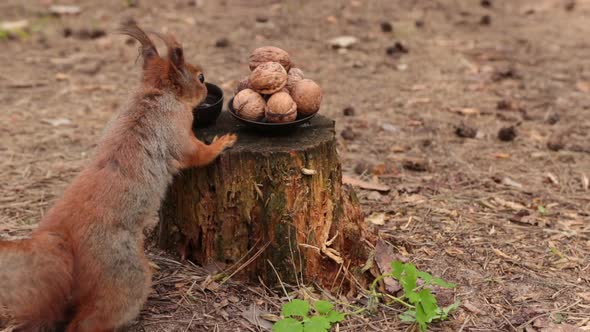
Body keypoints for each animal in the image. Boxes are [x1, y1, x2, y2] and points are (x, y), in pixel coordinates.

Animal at [0, 22, 236, 330]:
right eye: (200, 77)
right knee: (89, 320)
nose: (208, 87)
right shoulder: (177, 127)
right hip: (122, 275)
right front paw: (222, 143)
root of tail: (65, 239)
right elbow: (195, 154)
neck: (154, 93)